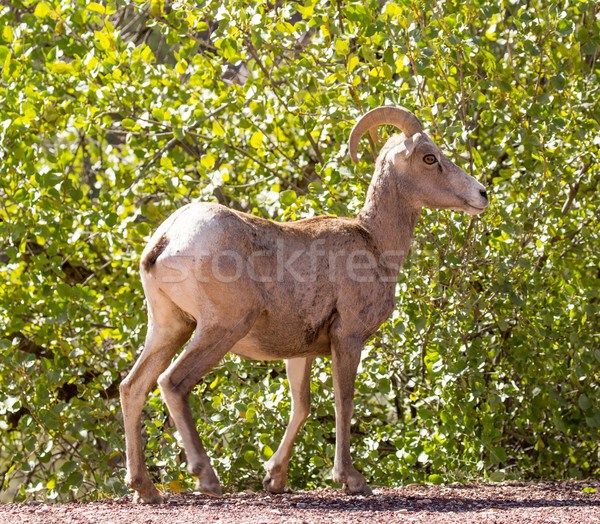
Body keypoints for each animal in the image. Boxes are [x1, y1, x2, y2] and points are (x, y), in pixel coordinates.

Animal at [120, 106, 488, 504]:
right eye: (429, 158)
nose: (482, 194)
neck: (375, 243)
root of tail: (166, 239)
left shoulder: (300, 352)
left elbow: (302, 405)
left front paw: (274, 478)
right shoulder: (348, 336)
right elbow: (344, 401)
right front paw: (352, 480)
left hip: (169, 327)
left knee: (133, 387)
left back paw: (145, 488)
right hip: (221, 328)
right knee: (172, 383)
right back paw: (207, 479)